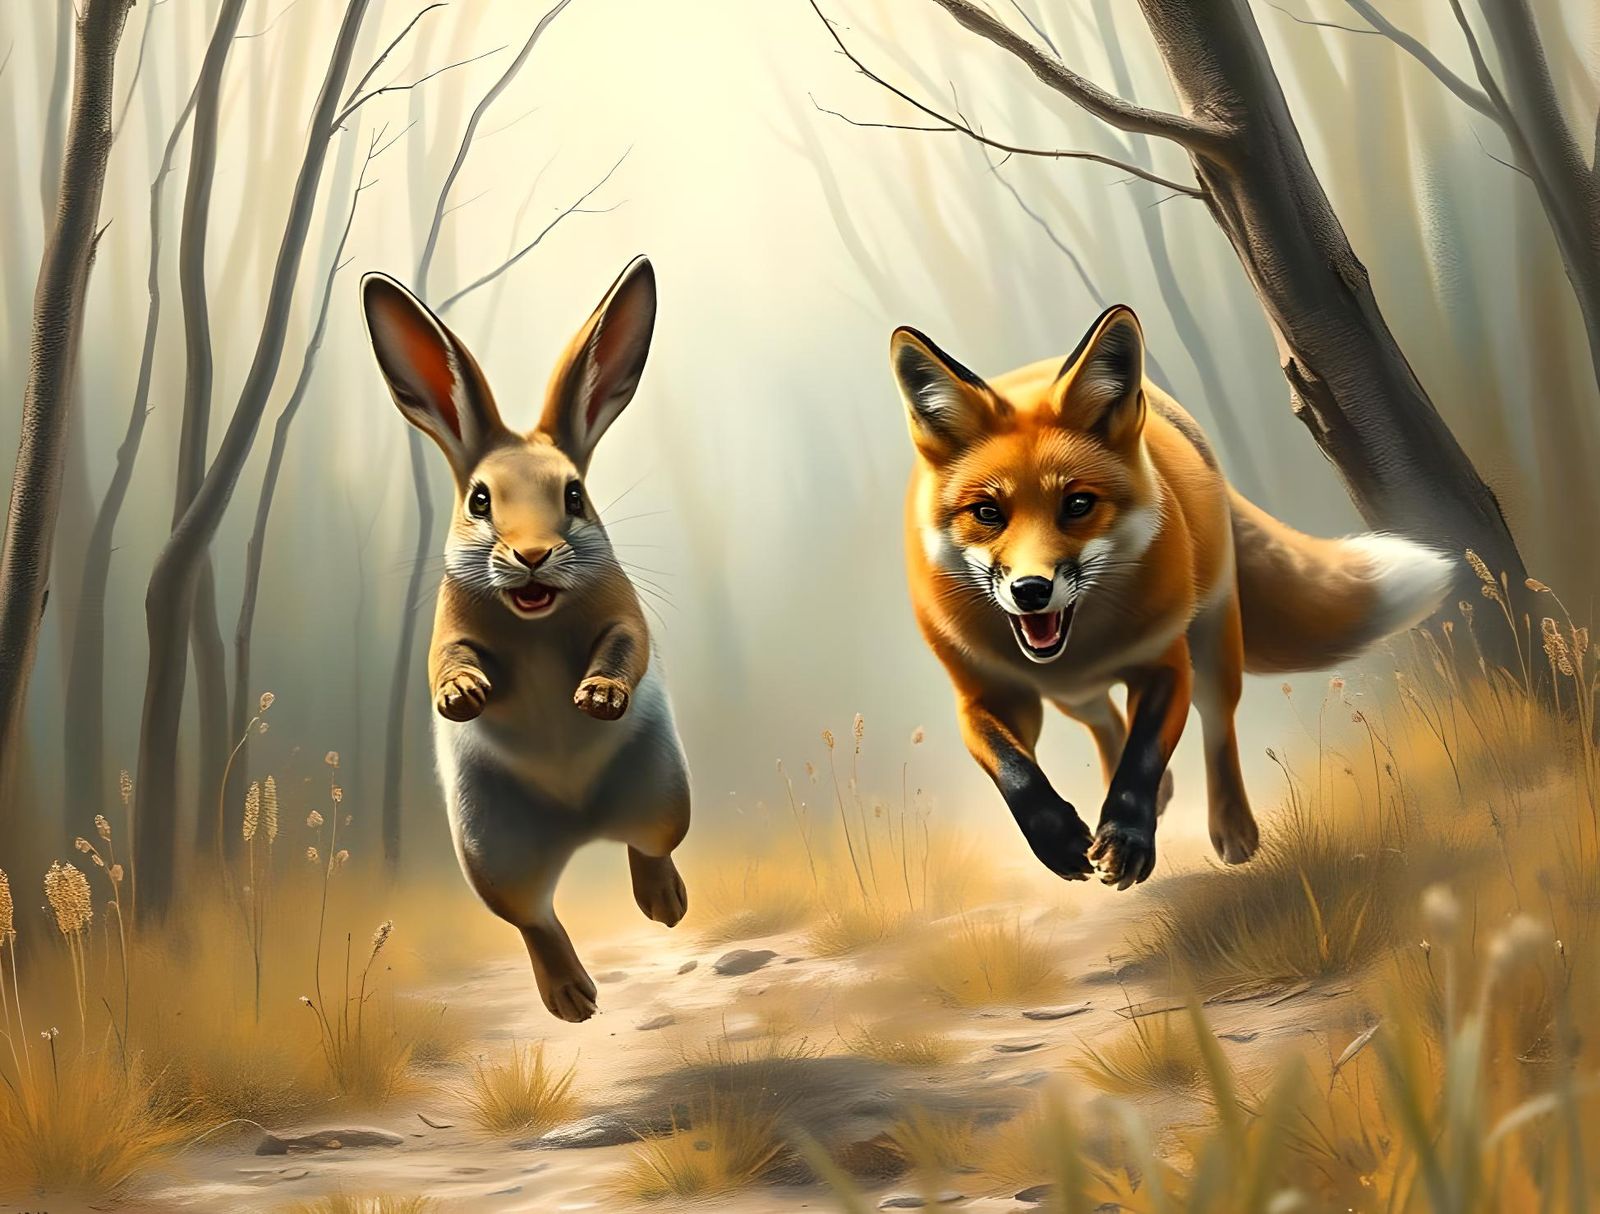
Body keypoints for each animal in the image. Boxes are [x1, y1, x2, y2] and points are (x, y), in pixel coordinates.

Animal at [359, 256, 690, 1023]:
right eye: (480, 500)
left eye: (573, 496)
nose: (534, 555)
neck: (534, 617)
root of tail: (580, 824)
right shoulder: (449, 627)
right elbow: (446, 660)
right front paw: (461, 695)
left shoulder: (623, 615)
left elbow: (625, 647)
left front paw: (597, 698)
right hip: (493, 847)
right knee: (534, 917)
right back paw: (572, 999)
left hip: (662, 794)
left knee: (648, 849)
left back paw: (664, 905)